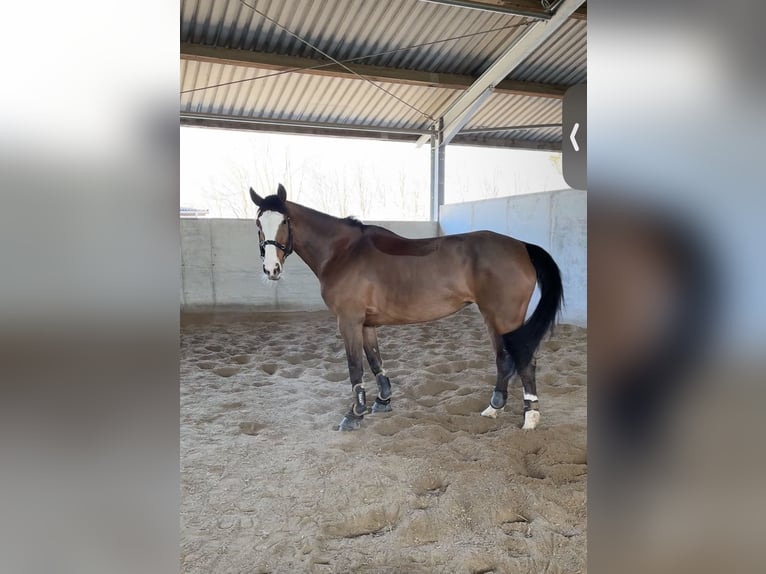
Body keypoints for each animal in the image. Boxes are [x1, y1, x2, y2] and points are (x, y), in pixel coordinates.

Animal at [250, 184, 563, 431]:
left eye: (285, 221)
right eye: (258, 224)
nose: (271, 269)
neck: (344, 253)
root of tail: (521, 246)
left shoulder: (348, 321)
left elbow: (354, 367)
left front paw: (354, 415)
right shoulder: (366, 324)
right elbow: (375, 361)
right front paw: (382, 401)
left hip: (504, 317)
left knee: (523, 359)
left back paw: (530, 417)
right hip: (493, 318)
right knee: (505, 359)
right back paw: (495, 407)